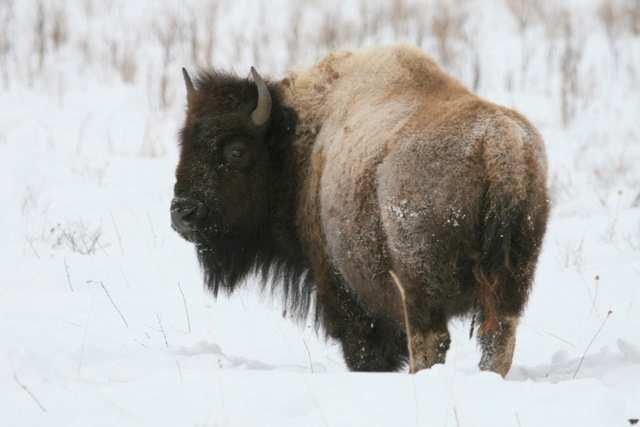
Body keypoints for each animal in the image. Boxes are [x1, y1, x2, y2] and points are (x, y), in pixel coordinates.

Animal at [171, 45, 552, 376]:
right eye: (184, 142)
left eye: (236, 151)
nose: (182, 213)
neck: (298, 142)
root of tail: (497, 146)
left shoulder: (343, 290)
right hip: (513, 278)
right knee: (498, 336)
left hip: (419, 282)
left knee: (431, 341)